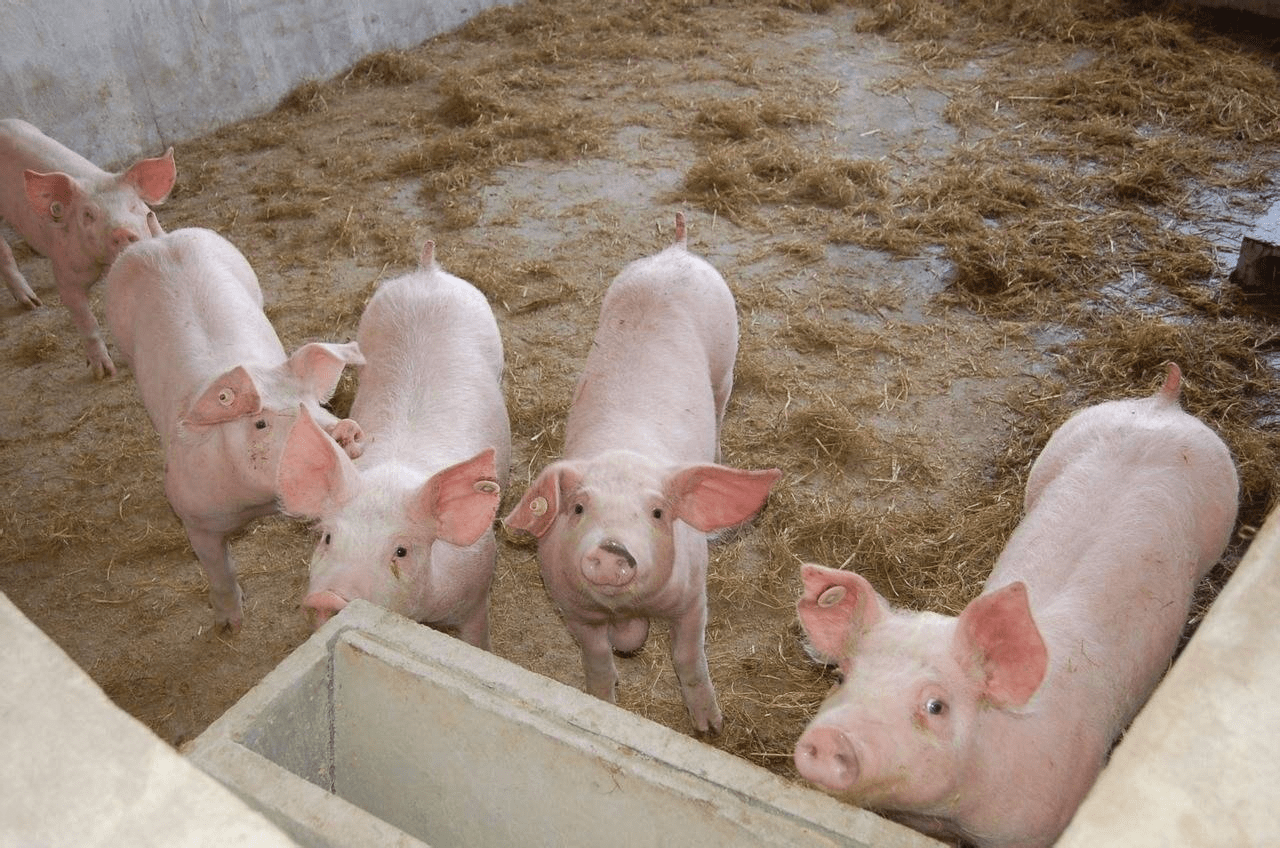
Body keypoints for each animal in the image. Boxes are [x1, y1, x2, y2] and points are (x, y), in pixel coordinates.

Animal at [1, 117, 176, 376]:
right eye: (88, 215)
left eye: (133, 205)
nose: (121, 231)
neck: (105, 267)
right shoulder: (66, 272)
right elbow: (87, 321)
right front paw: (104, 373)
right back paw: (32, 303)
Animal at [104, 225, 366, 630]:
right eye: (260, 423)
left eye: (316, 404)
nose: (343, 431)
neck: (257, 503)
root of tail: (158, 239)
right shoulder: (193, 517)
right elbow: (218, 569)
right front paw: (229, 626)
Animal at [275, 240, 509, 650]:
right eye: (328, 537)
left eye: (401, 551)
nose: (329, 597)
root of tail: (427, 272)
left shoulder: (477, 589)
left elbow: (476, 639)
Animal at [504, 213, 783, 737]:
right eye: (578, 507)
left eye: (656, 512)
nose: (612, 549)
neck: (626, 611)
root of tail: (677, 250)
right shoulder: (569, 605)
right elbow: (596, 656)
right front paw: (606, 697)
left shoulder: (694, 597)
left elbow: (688, 656)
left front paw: (710, 727)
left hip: (726, 361)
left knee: (721, 403)